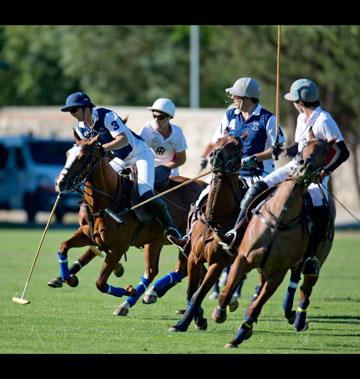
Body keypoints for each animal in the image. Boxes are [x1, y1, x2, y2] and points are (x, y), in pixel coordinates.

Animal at [53, 138, 205, 316]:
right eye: (67, 154)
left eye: (83, 157)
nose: (60, 183)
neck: (108, 201)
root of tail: (204, 184)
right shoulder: (87, 235)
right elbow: (63, 246)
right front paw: (69, 278)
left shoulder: (117, 248)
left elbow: (100, 283)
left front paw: (128, 290)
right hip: (158, 241)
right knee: (166, 270)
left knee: (176, 269)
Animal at [167, 135, 246, 334]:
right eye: (218, 141)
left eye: (238, 146)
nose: (216, 156)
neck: (215, 217)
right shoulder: (194, 257)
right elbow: (191, 291)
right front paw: (197, 319)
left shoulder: (217, 263)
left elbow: (198, 294)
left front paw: (183, 323)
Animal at [212, 135, 336, 348]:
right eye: (304, 146)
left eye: (325, 152)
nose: (303, 166)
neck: (279, 219)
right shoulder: (243, 258)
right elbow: (227, 292)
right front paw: (220, 312)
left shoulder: (278, 272)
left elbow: (257, 306)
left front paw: (240, 335)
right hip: (266, 266)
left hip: (314, 261)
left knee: (305, 287)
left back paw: (299, 319)